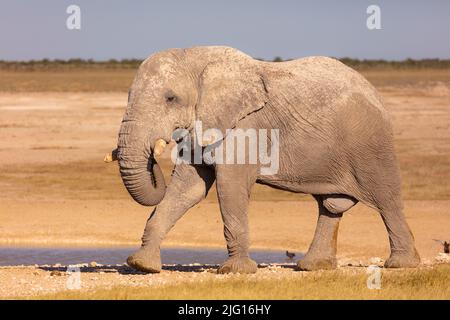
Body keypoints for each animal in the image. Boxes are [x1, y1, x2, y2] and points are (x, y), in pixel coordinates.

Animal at [111, 45, 418, 272]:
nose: (156, 151)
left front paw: (235, 271)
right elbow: (187, 189)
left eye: (170, 98)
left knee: (387, 200)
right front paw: (142, 265)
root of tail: (373, 89)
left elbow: (230, 186)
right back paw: (312, 267)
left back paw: (401, 265)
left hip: (371, 145)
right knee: (329, 206)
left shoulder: (247, 125)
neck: (194, 57)